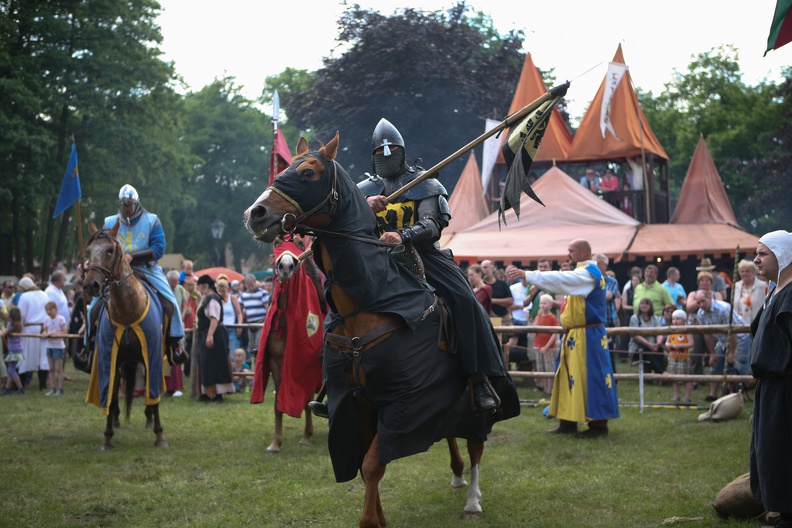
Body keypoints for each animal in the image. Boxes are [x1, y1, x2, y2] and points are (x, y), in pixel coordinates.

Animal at [83, 222, 169, 450]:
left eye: (110, 250)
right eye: (88, 251)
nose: (90, 285)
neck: (127, 310)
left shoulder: (152, 354)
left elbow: (153, 393)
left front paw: (159, 435)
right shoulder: (109, 356)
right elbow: (111, 393)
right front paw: (107, 437)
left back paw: (148, 419)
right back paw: (115, 418)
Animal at [254, 234, 328, 454]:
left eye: (299, 243)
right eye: (276, 244)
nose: (285, 266)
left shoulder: (305, 364)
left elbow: (305, 399)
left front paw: (306, 437)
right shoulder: (275, 363)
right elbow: (278, 404)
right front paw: (275, 443)